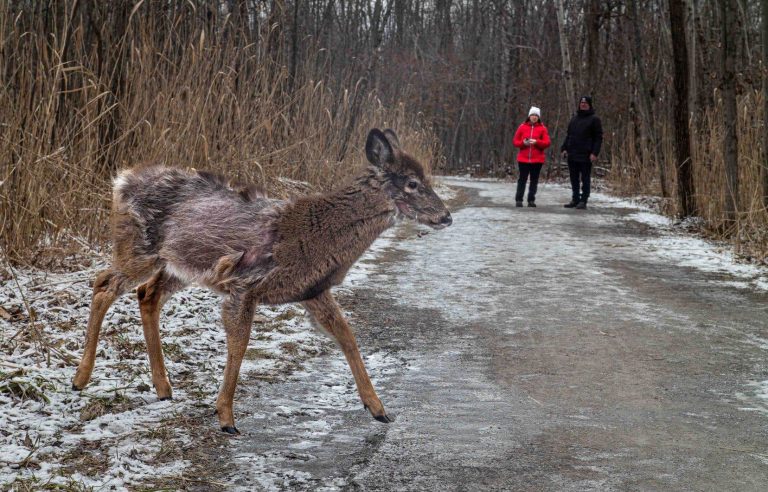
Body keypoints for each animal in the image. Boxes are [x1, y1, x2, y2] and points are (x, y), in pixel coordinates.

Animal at [71, 129, 450, 432]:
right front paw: (226, 418)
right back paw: (80, 379)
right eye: (412, 183)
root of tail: (122, 180)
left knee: (146, 294)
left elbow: (347, 336)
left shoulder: (313, 290)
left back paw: (163, 388)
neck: (315, 234)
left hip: (179, 265)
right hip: (138, 245)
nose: (446, 216)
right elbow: (239, 344)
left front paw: (379, 409)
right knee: (104, 284)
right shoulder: (245, 282)